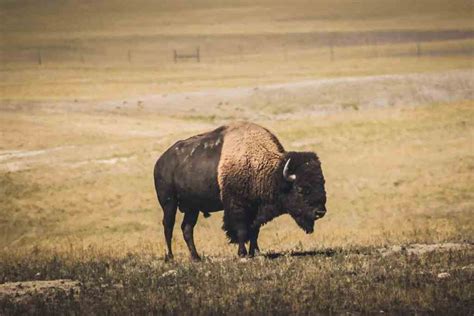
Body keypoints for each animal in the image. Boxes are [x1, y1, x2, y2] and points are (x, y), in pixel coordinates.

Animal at [154, 122, 328, 260]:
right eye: (300, 189)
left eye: (322, 184)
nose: (320, 212)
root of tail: (160, 162)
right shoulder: (237, 206)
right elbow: (241, 230)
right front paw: (243, 253)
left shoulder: (255, 210)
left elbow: (254, 231)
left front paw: (254, 252)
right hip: (169, 203)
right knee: (168, 226)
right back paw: (170, 257)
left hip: (192, 208)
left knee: (187, 229)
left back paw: (196, 258)